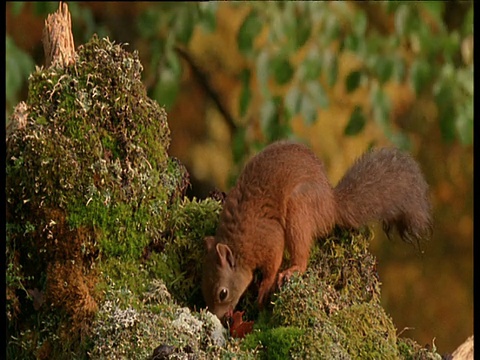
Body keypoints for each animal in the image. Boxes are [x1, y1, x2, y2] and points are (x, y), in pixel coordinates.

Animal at [201, 139, 434, 320]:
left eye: (222, 293)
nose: (217, 316)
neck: (239, 243)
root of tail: (331, 206)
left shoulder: (268, 237)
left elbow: (273, 260)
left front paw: (265, 286)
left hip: (300, 208)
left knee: (302, 254)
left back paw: (293, 269)